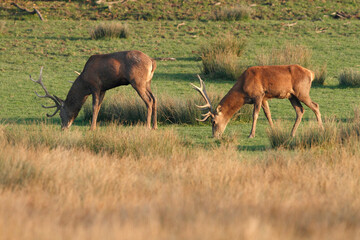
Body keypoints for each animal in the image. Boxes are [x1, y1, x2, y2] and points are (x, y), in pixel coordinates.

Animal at [191, 64, 324, 138]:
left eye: (213, 121)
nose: (215, 136)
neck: (243, 89)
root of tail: (311, 73)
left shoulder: (258, 95)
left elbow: (255, 115)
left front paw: (251, 134)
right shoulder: (264, 98)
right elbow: (268, 114)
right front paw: (273, 130)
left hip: (302, 92)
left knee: (316, 106)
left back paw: (321, 129)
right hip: (292, 96)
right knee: (300, 110)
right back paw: (292, 133)